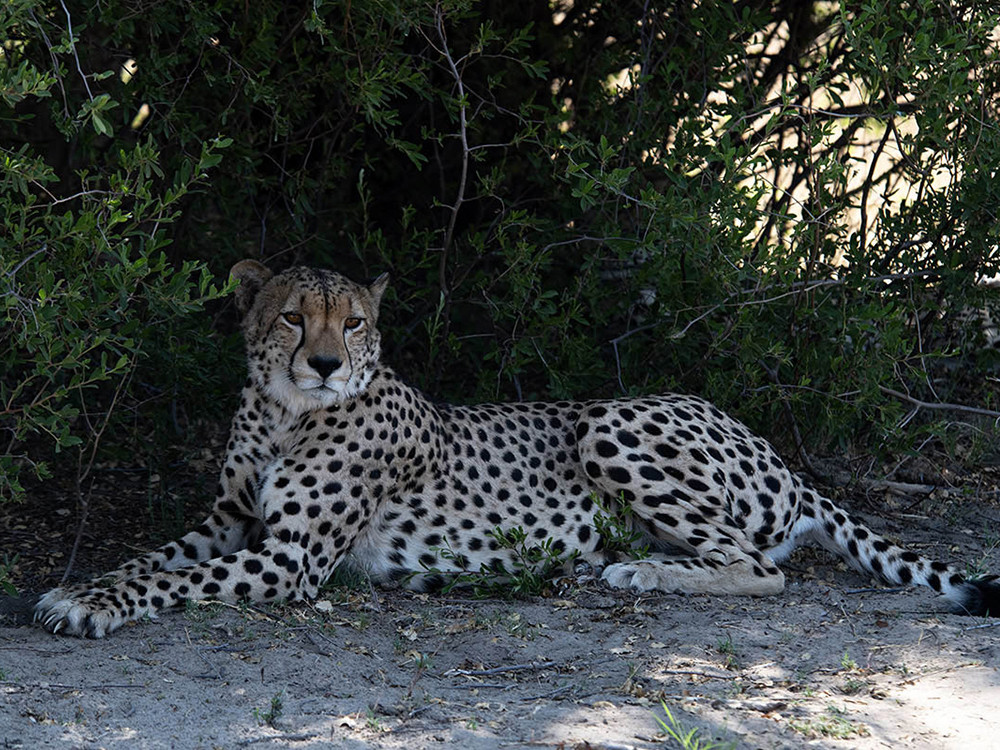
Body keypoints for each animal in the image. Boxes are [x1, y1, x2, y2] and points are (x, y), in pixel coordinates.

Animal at [35, 262, 1000, 636]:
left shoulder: (291, 559)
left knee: (761, 570)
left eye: (354, 322)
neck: (284, 411)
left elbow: (176, 580)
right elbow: (149, 558)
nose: (326, 362)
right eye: (291, 317)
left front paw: (92, 607)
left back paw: (640, 572)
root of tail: (777, 457)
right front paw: (79, 588)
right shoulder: (231, 520)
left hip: (610, 422)